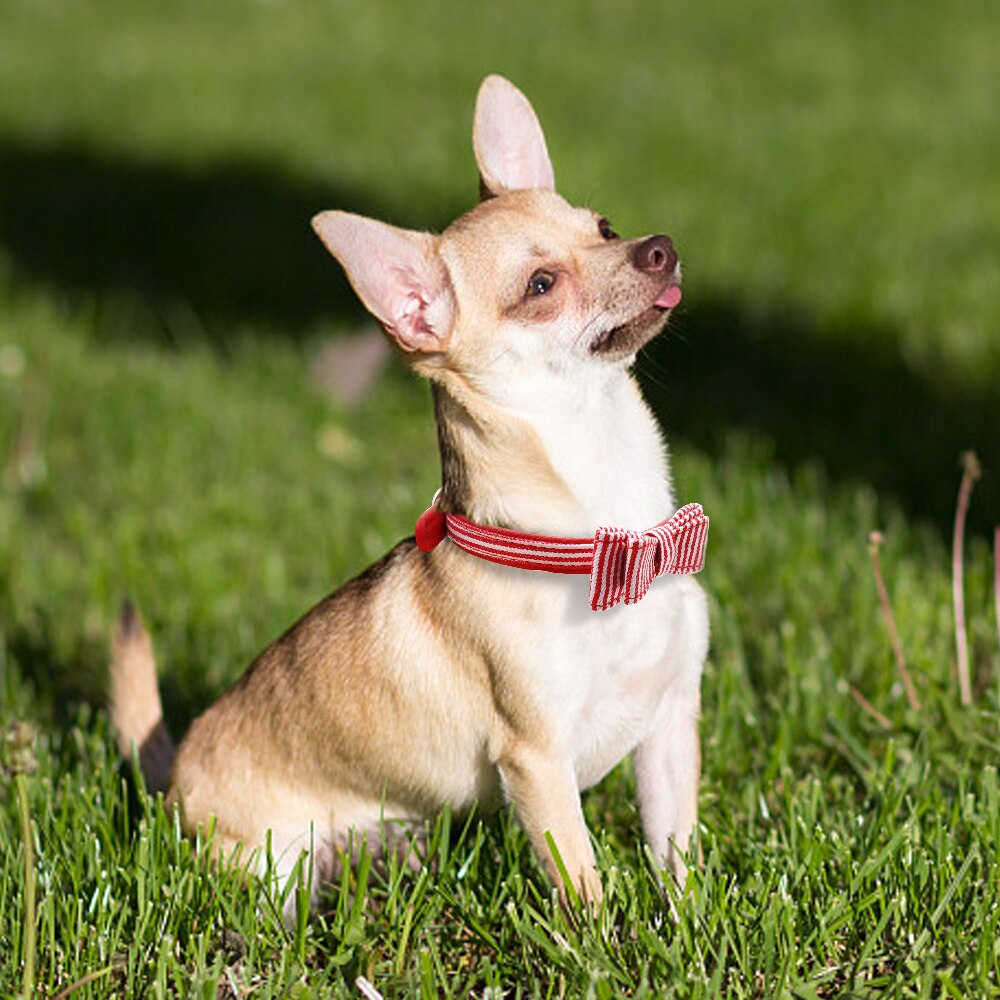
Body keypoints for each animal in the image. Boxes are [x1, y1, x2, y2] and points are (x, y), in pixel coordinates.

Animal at [111, 72, 712, 916]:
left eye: (604, 227)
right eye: (540, 285)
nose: (658, 247)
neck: (607, 536)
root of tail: (172, 775)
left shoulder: (668, 729)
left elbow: (677, 855)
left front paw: (688, 928)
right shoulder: (538, 761)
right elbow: (582, 882)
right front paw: (609, 942)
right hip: (267, 864)